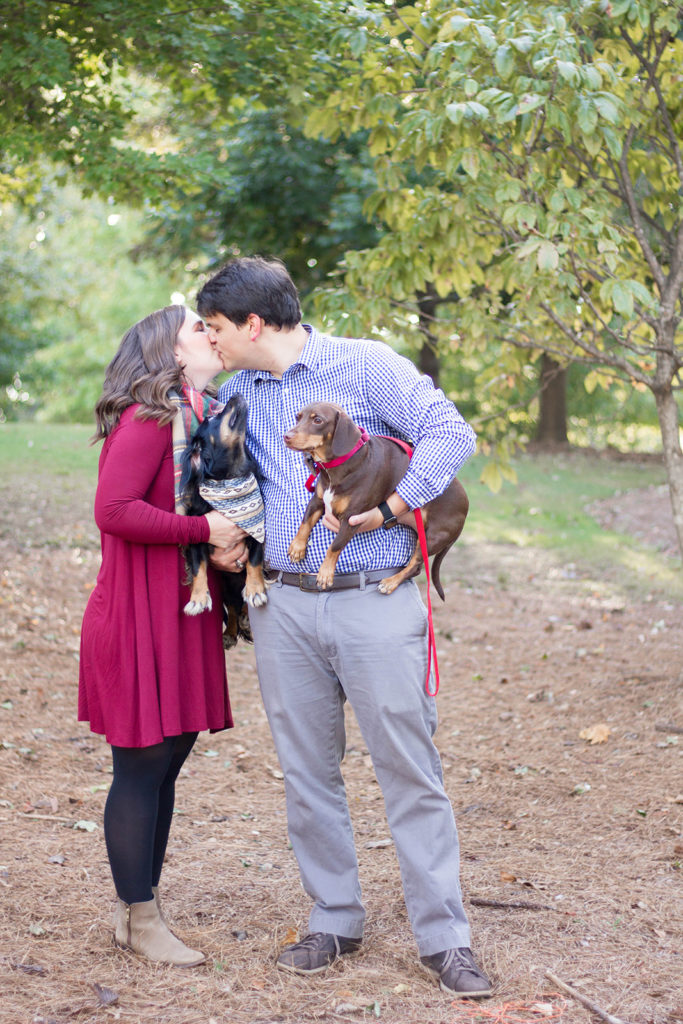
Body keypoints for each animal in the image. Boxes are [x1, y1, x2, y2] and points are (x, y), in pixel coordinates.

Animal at [179, 393, 267, 648]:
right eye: (211, 417)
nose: (236, 396)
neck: (230, 479)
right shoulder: (198, 538)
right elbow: (198, 569)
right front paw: (198, 598)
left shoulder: (258, 531)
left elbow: (254, 562)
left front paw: (256, 590)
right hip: (226, 589)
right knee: (233, 608)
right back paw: (230, 633)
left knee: (242, 607)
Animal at [283, 402, 469, 596]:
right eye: (298, 417)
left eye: (318, 420)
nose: (286, 436)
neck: (336, 468)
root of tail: (466, 506)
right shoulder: (317, 501)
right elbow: (305, 522)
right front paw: (297, 547)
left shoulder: (351, 519)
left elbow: (335, 546)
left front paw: (325, 573)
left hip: (431, 537)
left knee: (415, 564)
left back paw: (390, 582)